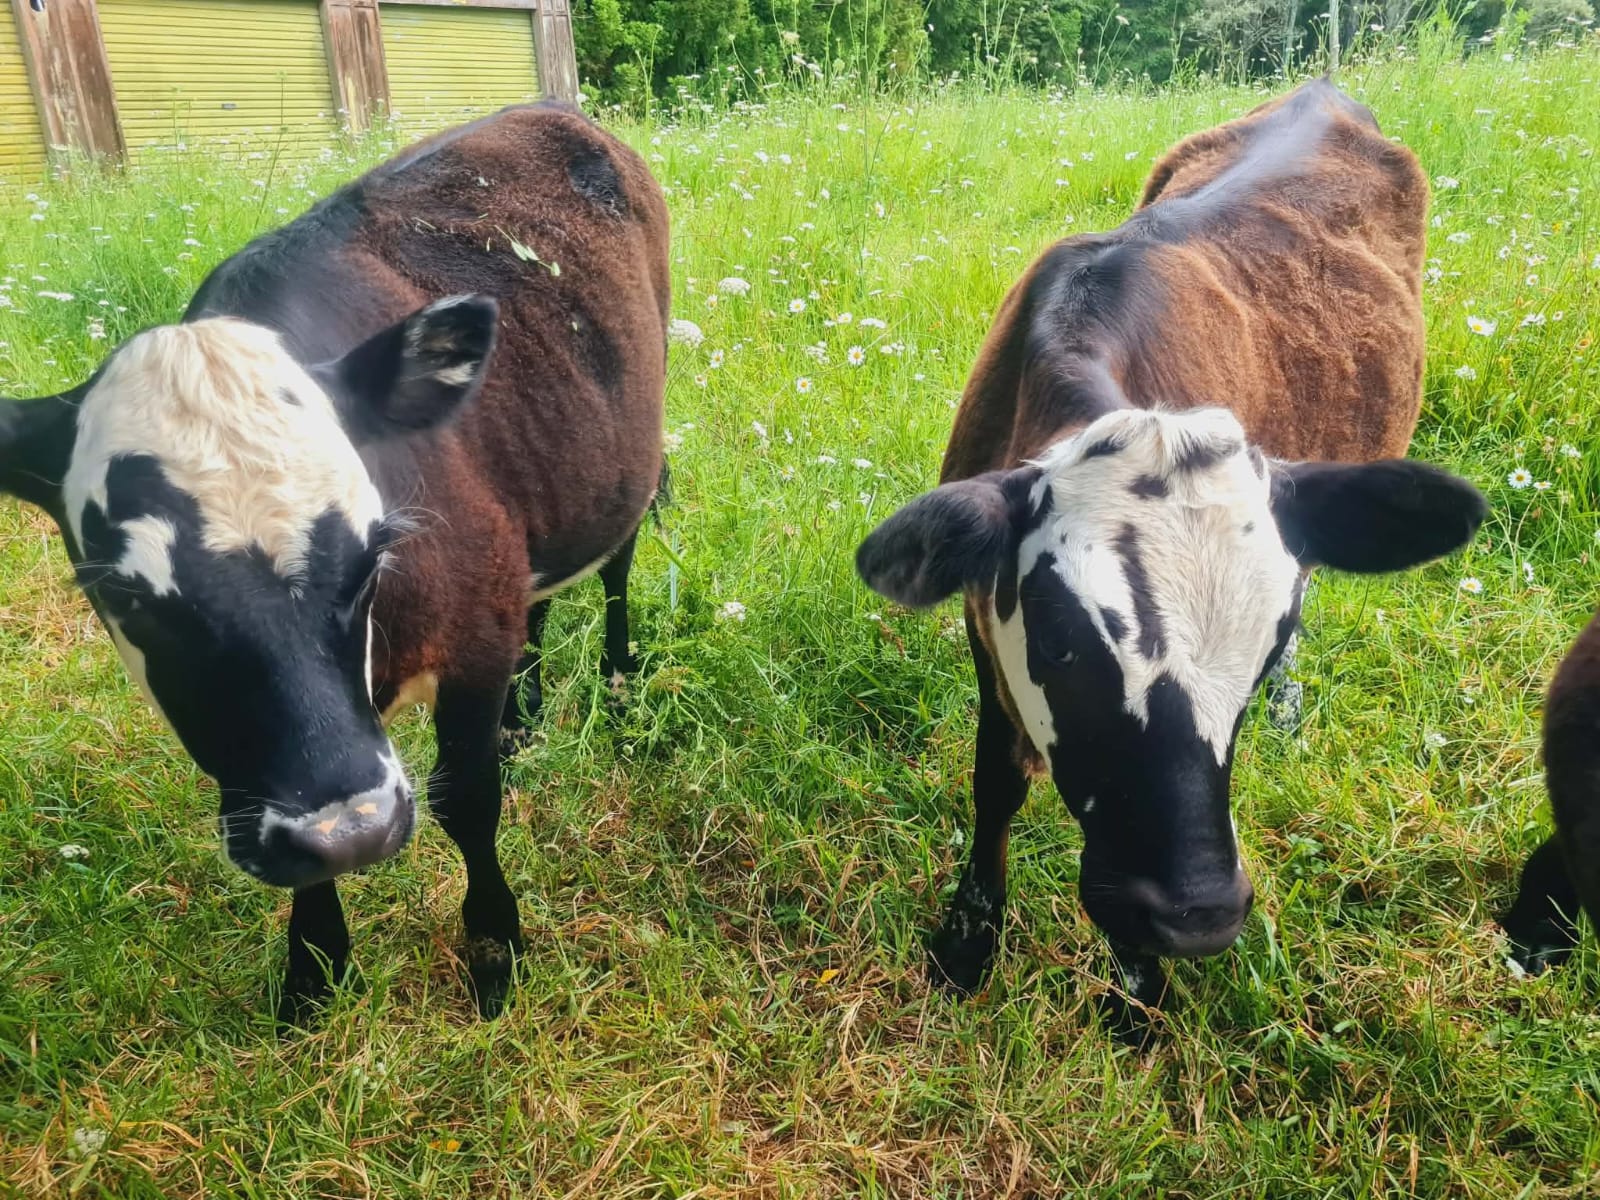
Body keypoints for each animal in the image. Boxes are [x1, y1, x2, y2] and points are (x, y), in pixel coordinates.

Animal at [0, 102, 670, 1025]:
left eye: (372, 556)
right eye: (130, 600)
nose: (351, 831)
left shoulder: (473, 636)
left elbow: (468, 798)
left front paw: (494, 949)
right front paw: (314, 965)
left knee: (613, 574)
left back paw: (617, 683)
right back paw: (524, 713)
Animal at [854, 78, 1487, 1037]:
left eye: (1260, 653)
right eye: (1061, 645)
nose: (1196, 916)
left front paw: (1138, 986)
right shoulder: (980, 621)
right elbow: (995, 783)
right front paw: (967, 946)